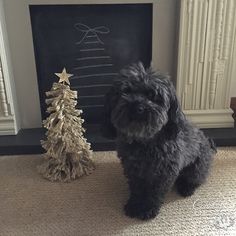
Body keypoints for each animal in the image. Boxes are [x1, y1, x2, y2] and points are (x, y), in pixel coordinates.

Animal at [101, 62, 216, 219]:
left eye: (153, 96)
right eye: (126, 91)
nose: (138, 107)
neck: (144, 141)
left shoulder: (164, 173)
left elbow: (155, 192)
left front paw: (148, 208)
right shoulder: (133, 170)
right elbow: (137, 189)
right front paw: (134, 205)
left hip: (197, 167)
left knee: (196, 179)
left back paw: (186, 187)